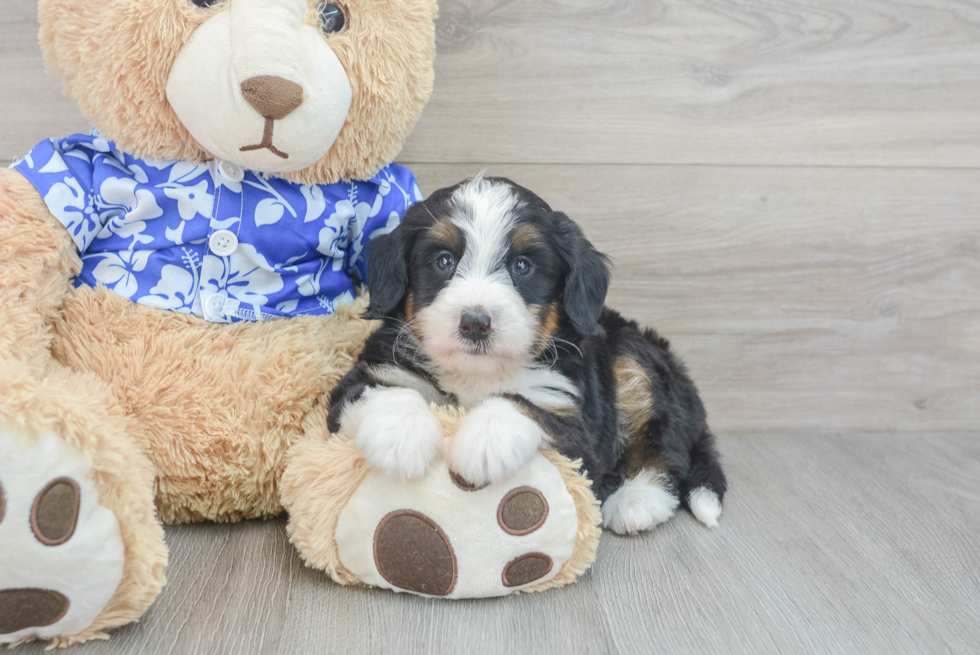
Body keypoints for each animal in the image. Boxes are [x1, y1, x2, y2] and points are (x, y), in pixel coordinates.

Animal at [330, 174, 728, 532]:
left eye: (522, 266)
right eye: (444, 261)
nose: (475, 322)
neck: (475, 374)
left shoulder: (573, 420)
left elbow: (522, 404)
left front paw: (484, 442)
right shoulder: (374, 373)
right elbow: (383, 392)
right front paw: (399, 436)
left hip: (634, 358)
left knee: (666, 446)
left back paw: (638, 500)